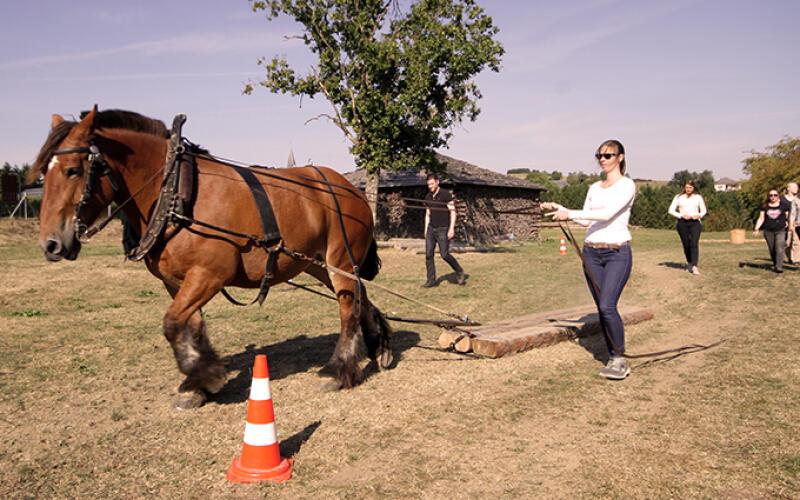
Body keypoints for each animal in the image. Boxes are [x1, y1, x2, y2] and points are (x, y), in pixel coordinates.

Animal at [32, 106, 393, 409]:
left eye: (73, 170)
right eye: (43, 175)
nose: (51, 244)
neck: (175, 192)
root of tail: (352, 187)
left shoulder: (209, 274)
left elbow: (172, 323)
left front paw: (203, 375)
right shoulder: (176, 281)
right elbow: (189, 325)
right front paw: (199, 382)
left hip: (340, 259)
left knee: (347, 309)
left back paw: (338, 369)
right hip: (316, 264)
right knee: (358, 297)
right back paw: (378, 343)